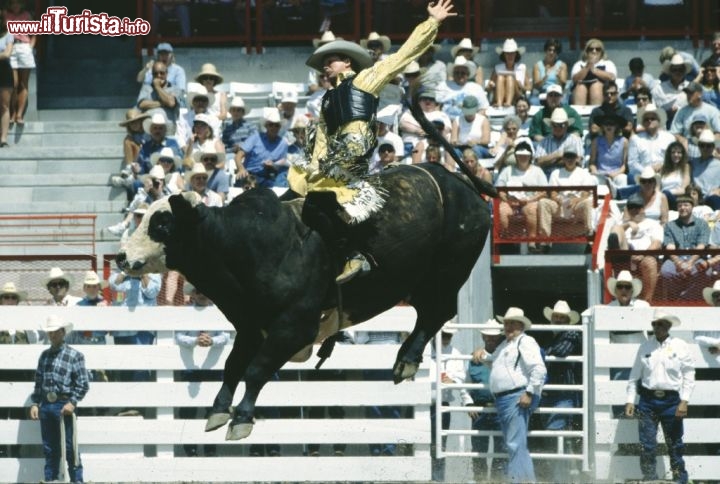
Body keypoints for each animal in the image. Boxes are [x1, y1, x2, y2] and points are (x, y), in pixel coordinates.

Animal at [115, 162, 492, 438]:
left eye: (162, 225)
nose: (120, 257)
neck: (247, 244)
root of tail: (460, 183)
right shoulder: (251, 327)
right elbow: (233, 366)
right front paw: (219, 411)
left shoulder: (293, 328)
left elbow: (256, 370)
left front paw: (242, 419)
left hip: (447, 273)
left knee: (436, 313)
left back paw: (406, 361)